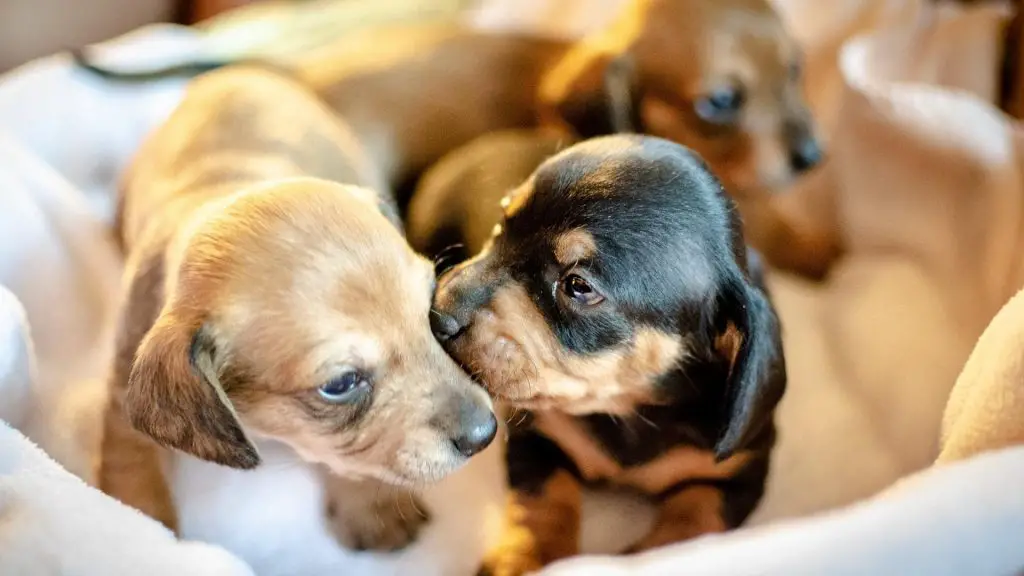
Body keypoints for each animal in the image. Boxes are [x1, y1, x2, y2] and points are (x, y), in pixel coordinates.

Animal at [99, 65, 495, 549]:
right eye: (340, 384)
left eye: (430, 312)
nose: (485, 433)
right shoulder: (119, 400)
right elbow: (131, 471)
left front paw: (371, 507)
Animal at [419, 134, 786, 573]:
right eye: (499, 226)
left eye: (577, 286)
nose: (437, 314)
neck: (628, 408)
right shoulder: (538, 436)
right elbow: (544, 500)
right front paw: (525, 558)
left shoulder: (740, 471)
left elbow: (697, 517)